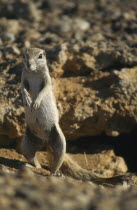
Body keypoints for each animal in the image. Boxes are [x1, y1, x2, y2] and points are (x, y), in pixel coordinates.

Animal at [20, 48, 130, 185]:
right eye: (24, 55)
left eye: (40, 56)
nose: (28, 64)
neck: (33, 73)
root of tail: (45, 142)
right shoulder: (23, 79)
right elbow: (23, 88)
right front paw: (26, 98)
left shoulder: (47, 80)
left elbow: (44, 90)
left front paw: (36, 101)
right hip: (27, 144)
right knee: (33, 159)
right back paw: (30, 166)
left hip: (59, 142)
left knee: (56, 162)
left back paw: (55, 174)